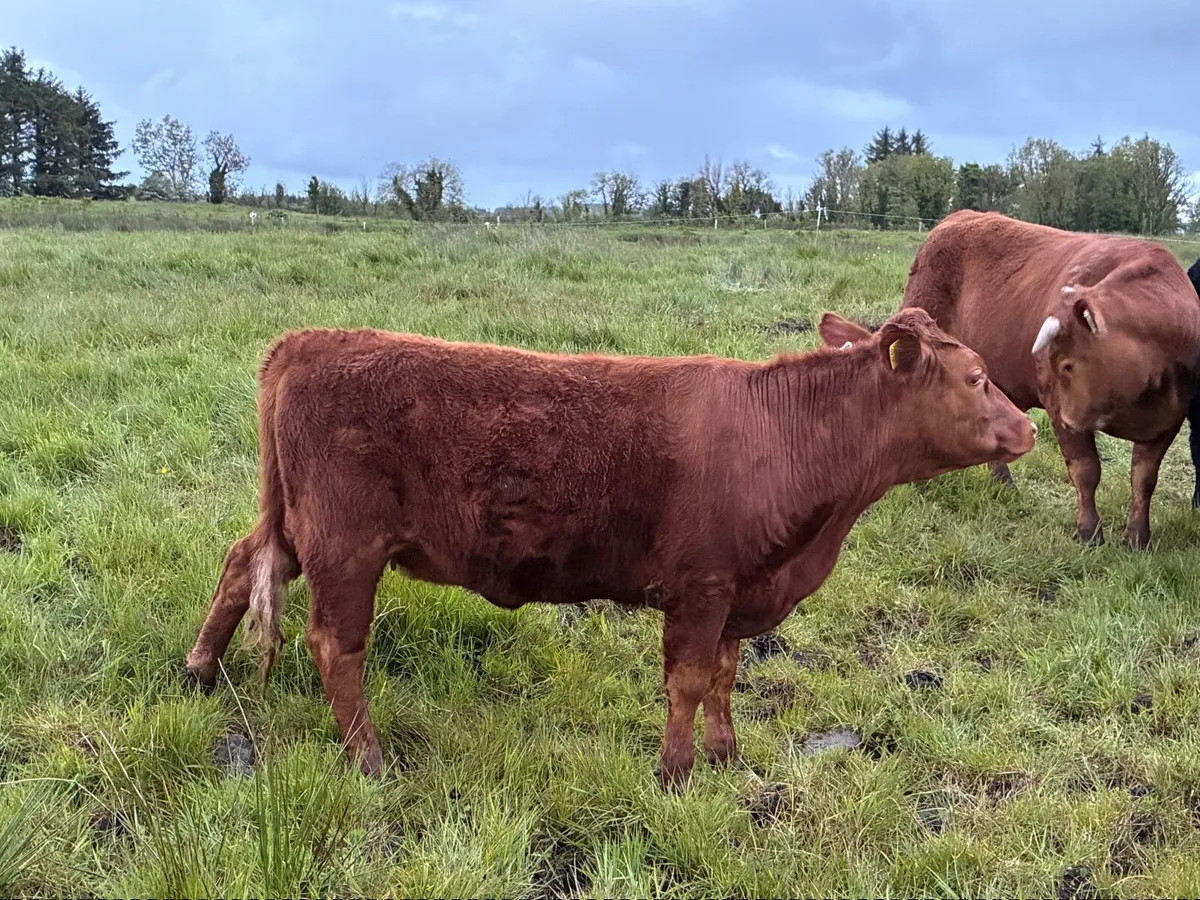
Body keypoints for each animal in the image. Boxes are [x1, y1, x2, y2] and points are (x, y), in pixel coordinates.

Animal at [184, 308, 1036, 790]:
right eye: (976, 376)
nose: (1028, 428)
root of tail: (308, 341)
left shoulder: (740, 589)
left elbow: (724, 677)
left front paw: (726, 757)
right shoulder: (701, 585)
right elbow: (688, 681)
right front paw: (676, 774)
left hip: (296, 526)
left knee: (237, 563)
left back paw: (197, 671)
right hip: (345, 542)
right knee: (337, 646)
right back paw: (368, 761)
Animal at [896, 210, 1200, 549]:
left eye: (1067, 364)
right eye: (1053, 363)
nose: (1069, 420)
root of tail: (959, 217)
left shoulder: (1168, 421)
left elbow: (1144, 478)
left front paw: (1137, 537)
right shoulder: (1058, 409)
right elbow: (1086, 471)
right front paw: (1089, 532)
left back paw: (1003, 484)